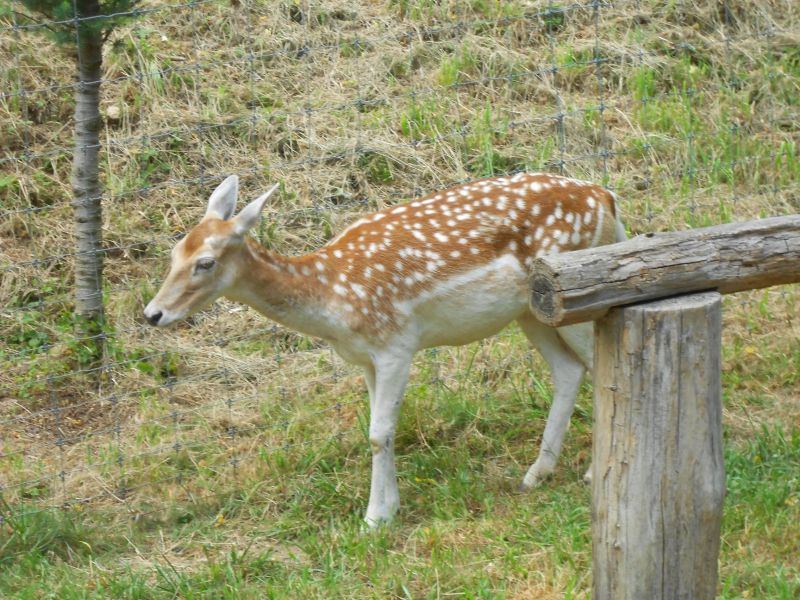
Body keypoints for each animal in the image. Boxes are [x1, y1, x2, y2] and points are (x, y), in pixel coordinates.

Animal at [147, 171, 628, 528]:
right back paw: (535, 474)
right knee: (568, 370)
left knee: (596, 361)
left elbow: (379, 433)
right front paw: (387, 509)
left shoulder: (397, 343)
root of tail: (607, 197)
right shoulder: (365, 358)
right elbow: (379, 432)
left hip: (572, 292)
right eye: (174, 252)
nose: (153, 313)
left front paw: (375, 518)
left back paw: (591, 472)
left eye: (205, 263)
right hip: (532, 311)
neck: (332, 300)